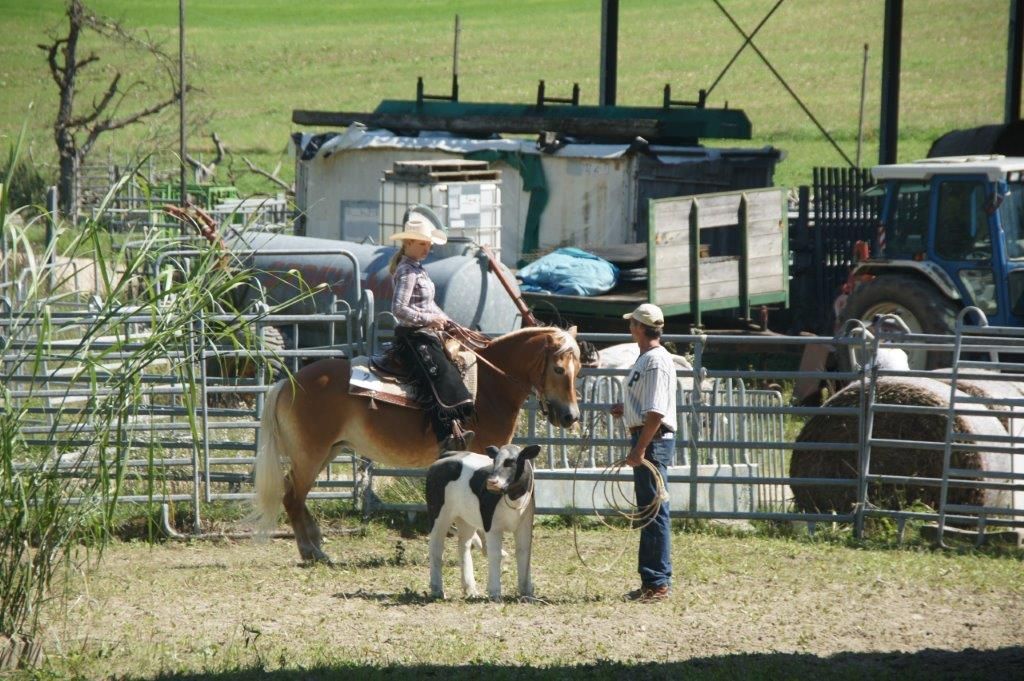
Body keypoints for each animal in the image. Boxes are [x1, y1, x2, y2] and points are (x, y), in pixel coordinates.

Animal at [251, 325, 582, 562]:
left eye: (578, 369)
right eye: (558, 369)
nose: (571, 416)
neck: (491, 386)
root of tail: (288, 382)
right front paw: (488, 545)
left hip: (324, 452)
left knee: (295, 494)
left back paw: (316, 544)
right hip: (310, 454)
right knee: (292, 496)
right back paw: (312, 551)